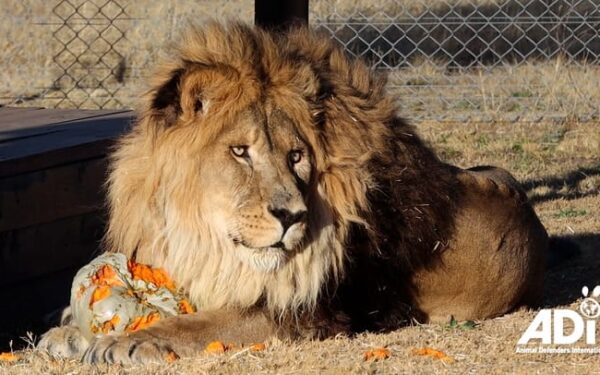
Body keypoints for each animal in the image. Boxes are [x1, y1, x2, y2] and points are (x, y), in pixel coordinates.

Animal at [38, 22, 548, 364]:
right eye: (239, 151)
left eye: (297, 155)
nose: (291, 216)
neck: (201, 235)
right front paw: (66, 331)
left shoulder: (311, 313)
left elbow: (210, 321)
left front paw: (132, 340)